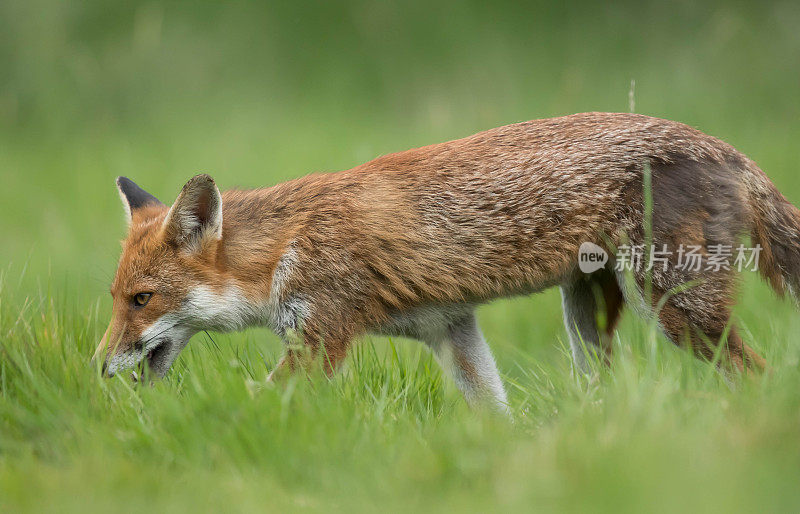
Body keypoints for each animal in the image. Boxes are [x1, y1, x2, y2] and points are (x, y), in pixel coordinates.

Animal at [95, 113, 800, 408]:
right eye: (117, 299)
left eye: (142, 300)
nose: (96, 366)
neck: (284, 250)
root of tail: (720, 144)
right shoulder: (450, 330)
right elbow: (495, 415)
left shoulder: (320, 340)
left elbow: (258, 403)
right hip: (586, 320)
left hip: (679, 312)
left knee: (756, 375)